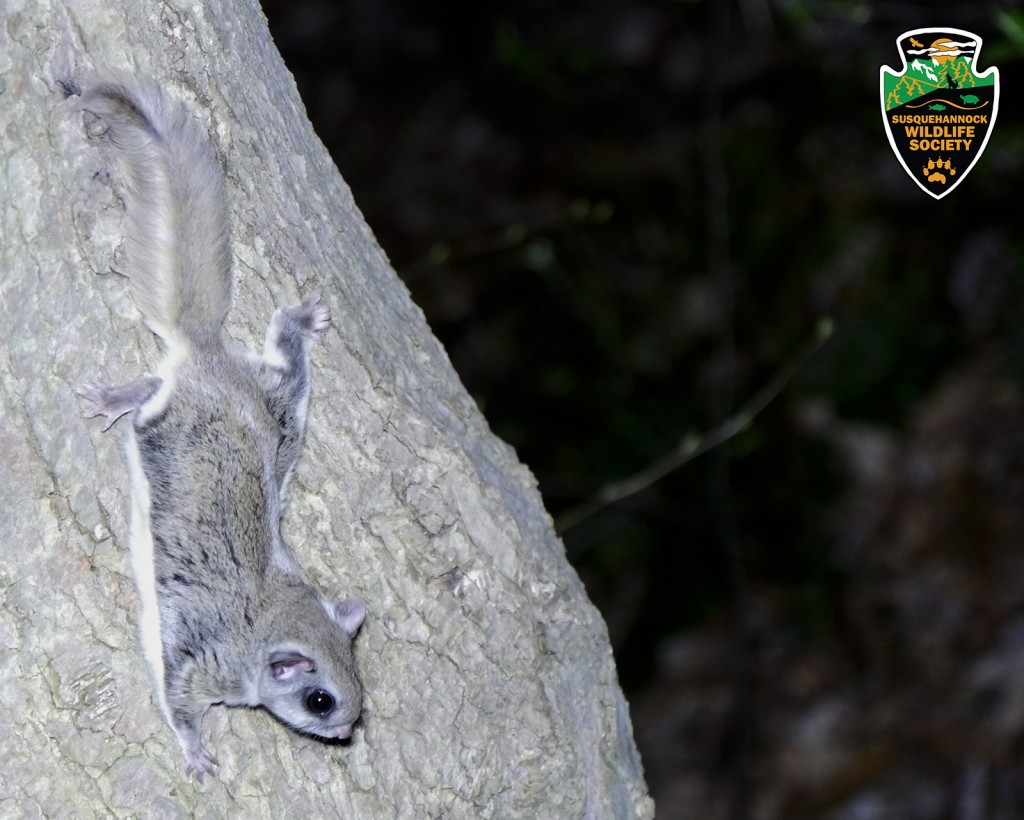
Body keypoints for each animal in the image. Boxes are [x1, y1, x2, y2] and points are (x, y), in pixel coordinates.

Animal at [73, 79, 368, 778]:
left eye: (358, 685)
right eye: (320, 700)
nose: (348, 731)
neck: (270, 621)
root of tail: (206, 352)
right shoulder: (197, 657)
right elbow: (178, 703)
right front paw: (197, 753)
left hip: (281, 415)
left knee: (284, 356)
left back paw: (302, 319)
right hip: (197, 414)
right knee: (147, 393)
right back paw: (112, 398)